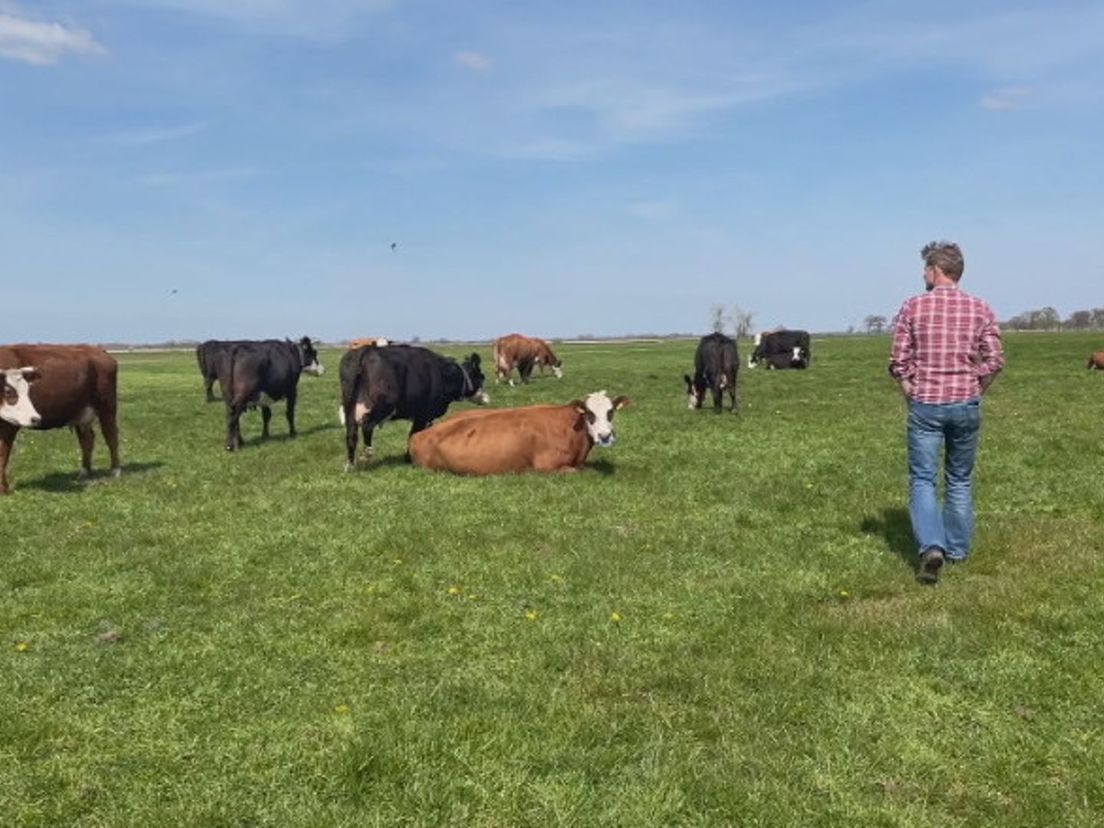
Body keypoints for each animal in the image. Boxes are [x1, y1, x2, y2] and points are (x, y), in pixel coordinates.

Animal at [0, 346, 121, 496]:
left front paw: (4, 489)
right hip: (81, 413)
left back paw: (115, 471)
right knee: (87, 440)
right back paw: (84, 472)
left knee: (111, 436)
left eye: (27, 391)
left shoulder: (9, 425)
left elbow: (3, 455)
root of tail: (97, 350)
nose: (35, 418)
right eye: (8, 392)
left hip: (107, 407)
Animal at [337, 344, 490, 470]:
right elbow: (414, 434)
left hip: (349, 405)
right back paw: (366, 456)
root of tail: (367, 349)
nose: (487, 399)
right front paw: (409, 458)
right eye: (482, 376)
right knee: (367, 425)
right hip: (384, 404)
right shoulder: (423, 414)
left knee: (351, 433)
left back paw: (350, 465)